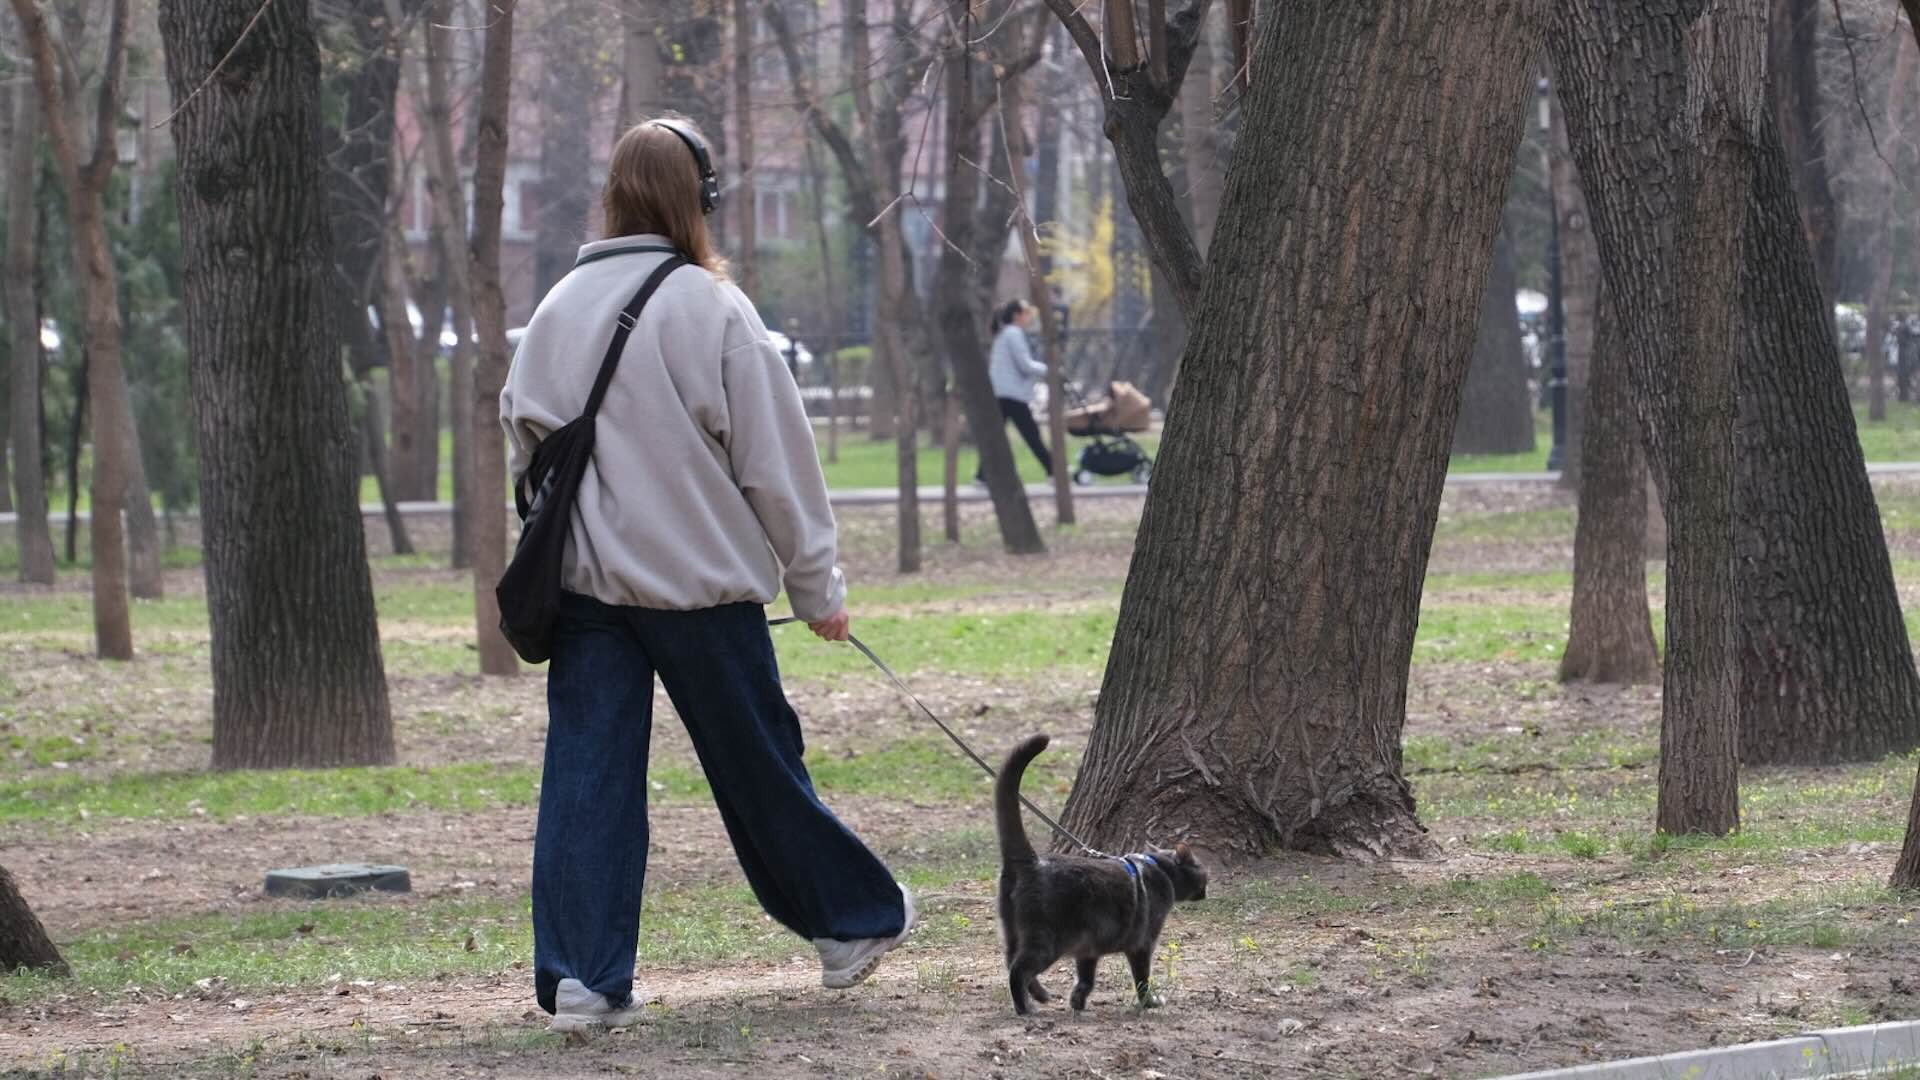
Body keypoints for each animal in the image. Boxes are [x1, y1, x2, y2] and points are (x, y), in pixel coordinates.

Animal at [998, 730, 1205, 1006]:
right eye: (1202, 869)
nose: (1206, 889)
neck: (1161, 869)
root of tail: (1031, 862)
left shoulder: (1089, 947)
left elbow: (1087, 977)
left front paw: (1077, 1001)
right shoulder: (1142, 943)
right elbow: (1142, 978)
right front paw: (1150, 1002)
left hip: (1012, 928)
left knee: (1010, 959)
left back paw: (1041, 996)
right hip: (1046, 939)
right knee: (1018, 969)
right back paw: (1026, 1007)